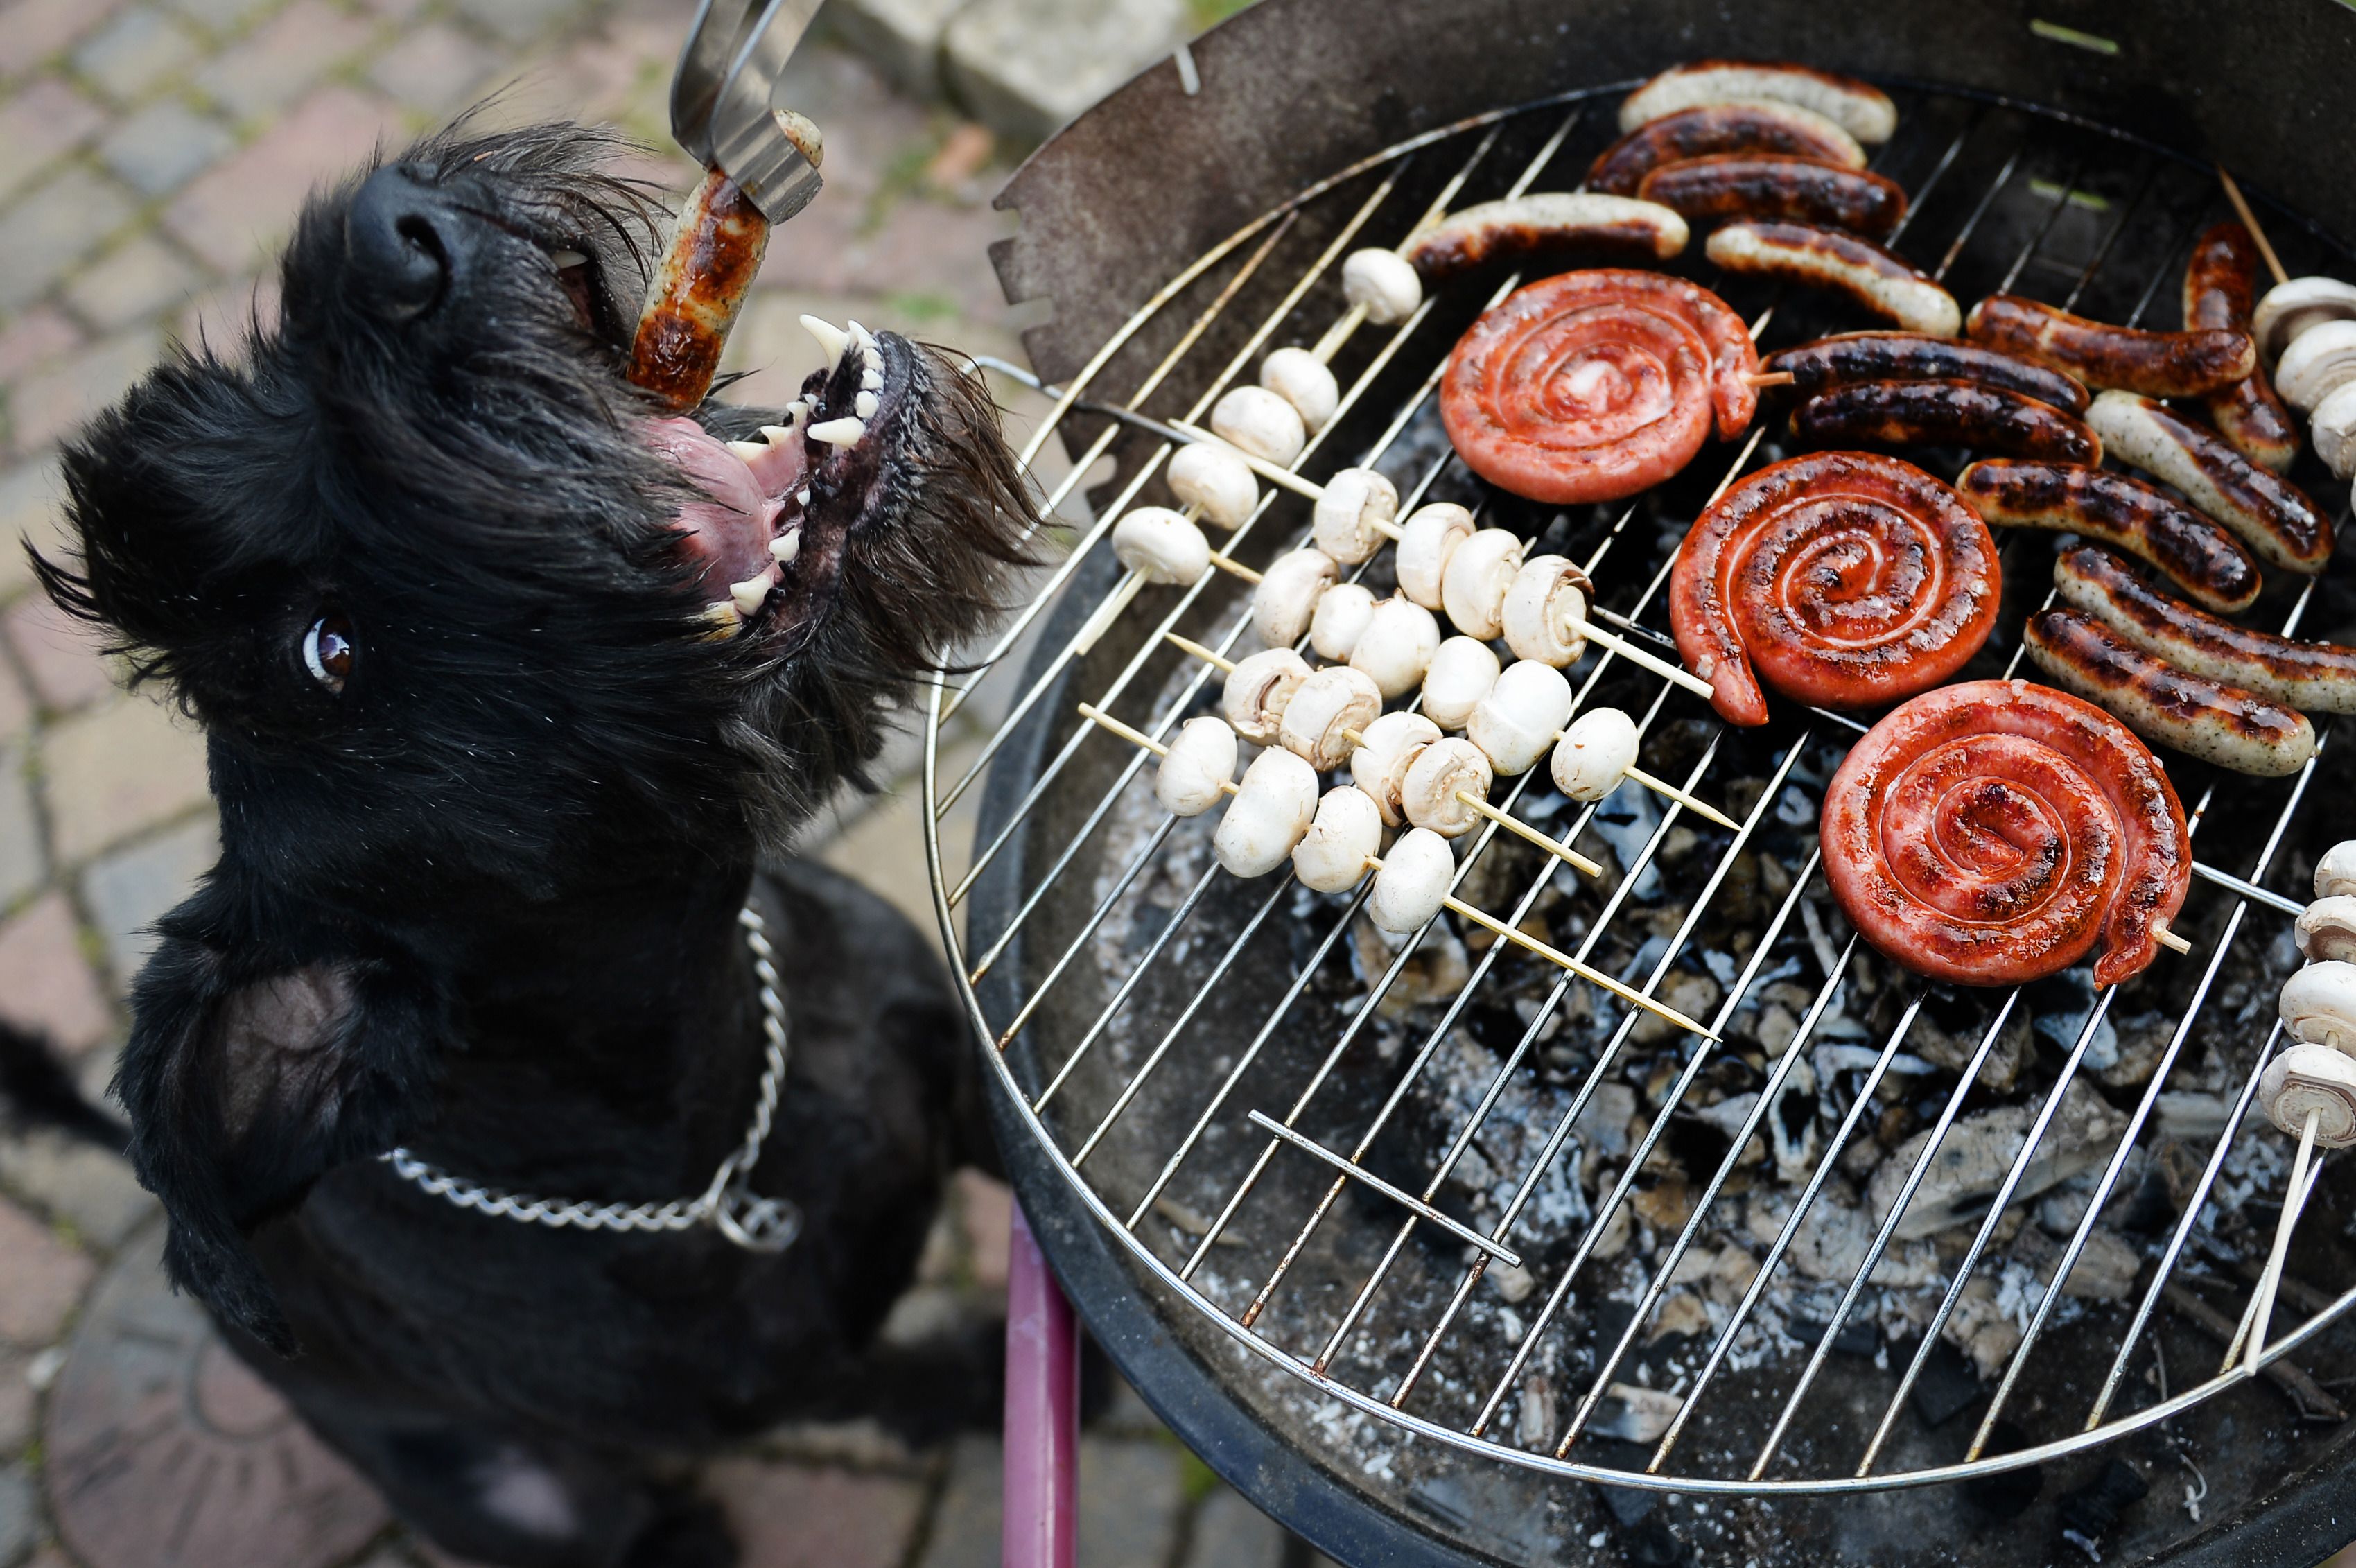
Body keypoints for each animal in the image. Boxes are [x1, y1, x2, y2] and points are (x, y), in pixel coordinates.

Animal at [20, 122, 1031, 1565]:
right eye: (329, 651)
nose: (387, 236)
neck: (720, 1112)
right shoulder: (806, 1375)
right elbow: (909, 1380)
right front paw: (1002, 1380)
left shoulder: (956, 1070)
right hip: (529, 1497)